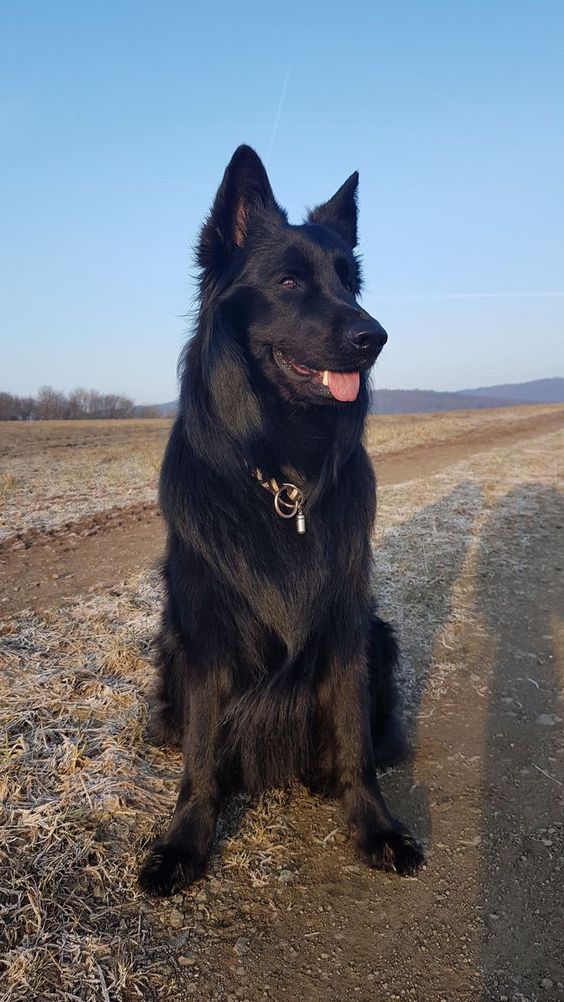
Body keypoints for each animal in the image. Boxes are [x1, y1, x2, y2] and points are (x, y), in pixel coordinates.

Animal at [140, 145, 424, 897]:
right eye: (290, 281)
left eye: (350, 282)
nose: (373, 335)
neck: (283, 476)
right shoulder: (207, 635)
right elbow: (203, 752)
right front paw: (185, 840)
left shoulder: (348, 623)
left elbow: (354, 737)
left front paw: (373, 824)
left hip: (383, 636)